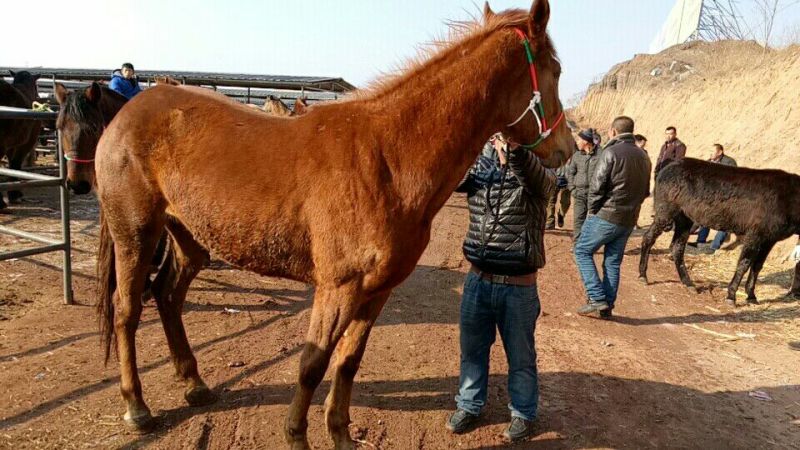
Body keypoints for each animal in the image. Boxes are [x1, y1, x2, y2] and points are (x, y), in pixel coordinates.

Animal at [93, 1, 571, 447]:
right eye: (557, 70)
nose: (566, 149)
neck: (390, 158)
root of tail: (128, 113)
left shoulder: (375, 292)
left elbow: (347, 362)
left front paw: (339, 433)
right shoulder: (338, 287)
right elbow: (313, 363)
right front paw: (296, 435)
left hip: (189, 238)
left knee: (167, 295)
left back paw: (194, 385)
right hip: (135, 234)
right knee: (127, 310)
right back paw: (137, 407)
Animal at [639, 158, 800, 305]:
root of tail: (670, 164)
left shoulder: (769, 239)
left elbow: (757, 266)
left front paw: (751, 296)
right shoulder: (755, 235)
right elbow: (744, 264)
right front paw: (731, 296)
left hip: (685, 218)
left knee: (677, 248)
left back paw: (688, 283)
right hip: (666, 212)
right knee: (648, 238)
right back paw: (643, 275)